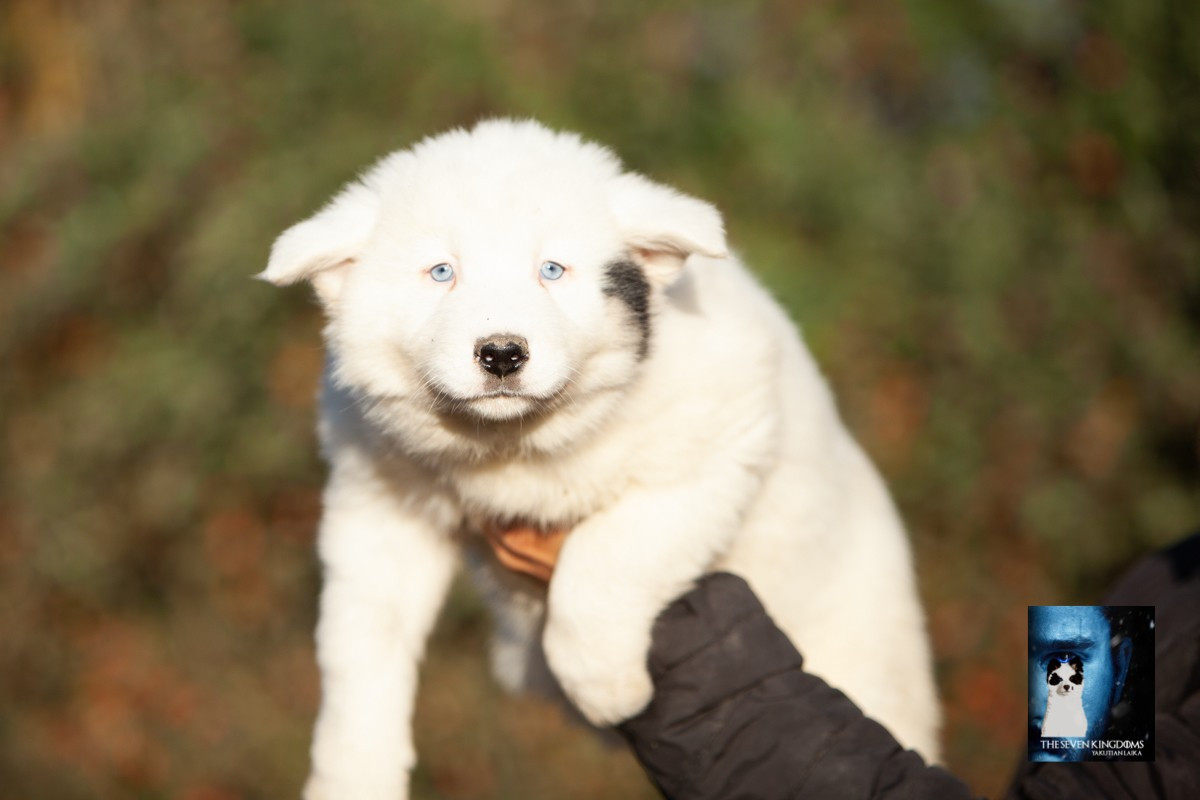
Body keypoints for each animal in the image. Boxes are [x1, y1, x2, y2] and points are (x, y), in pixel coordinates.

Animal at [260, 119, 940, 799]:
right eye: (441, 272)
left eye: (552, 270)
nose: (501, 354)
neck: (513, 443)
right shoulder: (377, 505)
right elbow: (360, 650)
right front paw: (352, 775)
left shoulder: (717, 447)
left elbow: (602, 562)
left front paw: (608, 690)